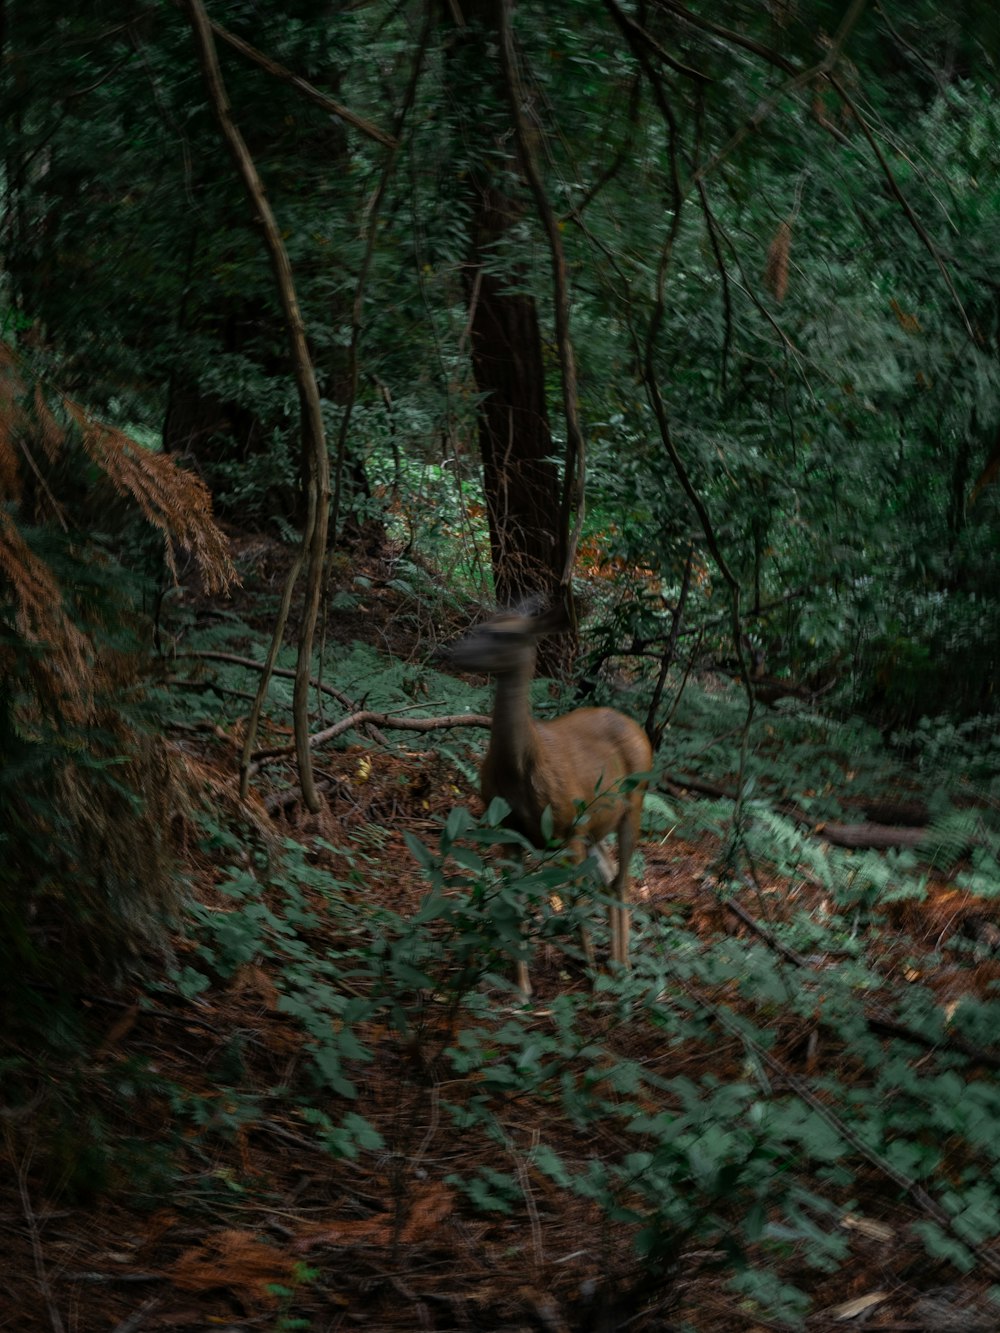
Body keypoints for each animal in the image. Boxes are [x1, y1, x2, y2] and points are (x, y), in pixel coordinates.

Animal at [448, 599, 653, 997]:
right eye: (482, 624)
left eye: (505, 635)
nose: (447, 652)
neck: (521, 770)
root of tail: (636, 726)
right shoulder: (508, 831)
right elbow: (513, 901)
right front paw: (522, 989)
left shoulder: (568, 831)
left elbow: (574, 900)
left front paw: (589, 975)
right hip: (594, 825)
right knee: (608, 876)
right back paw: (615, 961)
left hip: (632, 805)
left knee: (620, 881)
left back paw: (618, 966)